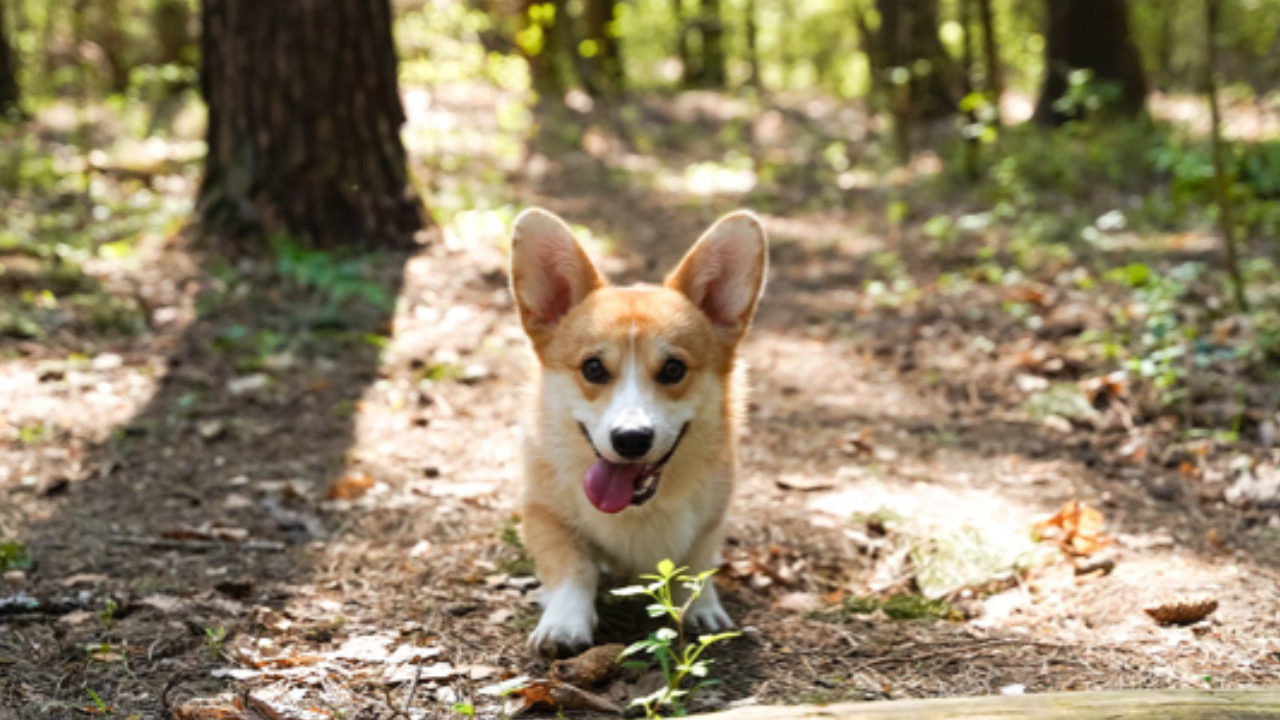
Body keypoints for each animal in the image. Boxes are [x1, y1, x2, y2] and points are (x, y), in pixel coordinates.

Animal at [506, 204, 768, 653]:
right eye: (593, 368)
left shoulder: (712, 518)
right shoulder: (544, 513)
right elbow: (574, 567)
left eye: (674, 369)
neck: (636, 510)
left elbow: (696, 564)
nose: (630, 440)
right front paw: (564, 623)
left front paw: (701, 608)